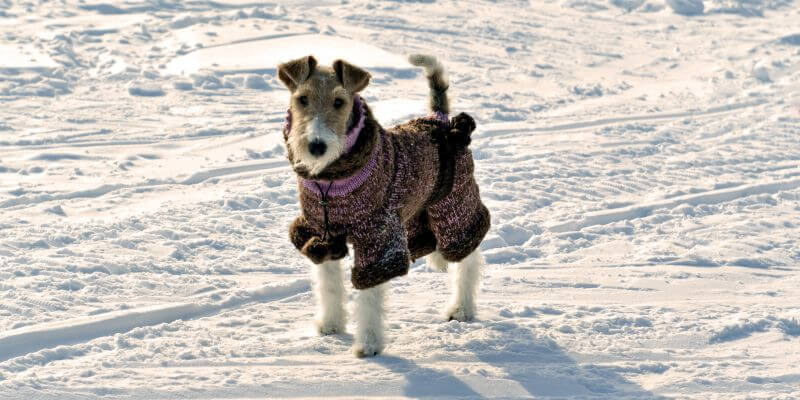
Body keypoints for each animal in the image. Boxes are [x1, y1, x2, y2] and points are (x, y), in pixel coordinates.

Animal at [278, 54, 490, 356]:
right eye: (302, 99)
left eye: (339, 101)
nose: (317, 146)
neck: (332, 180)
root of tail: (440, 119)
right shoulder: (323, 235)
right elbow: (329, 287)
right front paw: (330, 325)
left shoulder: (377, 239)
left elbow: (368, 297)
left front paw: (368, 345)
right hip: (420, 210)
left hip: (455, 204)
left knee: (468, 258)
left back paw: (461, 309)